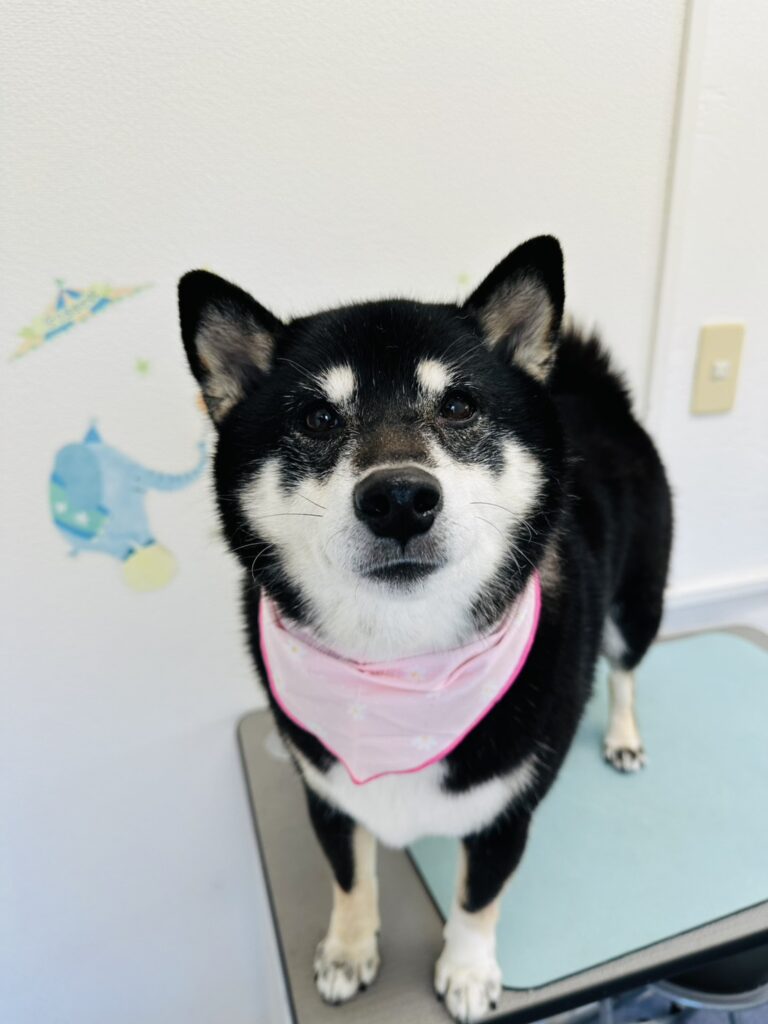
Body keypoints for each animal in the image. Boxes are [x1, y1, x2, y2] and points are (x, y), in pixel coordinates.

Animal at [178, 236, 672, 1024]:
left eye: (460, 405)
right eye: (316, 419)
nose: (401, 498)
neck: (399, 667)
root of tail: (600, 397)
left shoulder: (507, 813)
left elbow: (476, 899)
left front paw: (467, 971)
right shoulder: (330, 795)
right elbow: (351, 879)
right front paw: (348, 952)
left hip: (636, 606)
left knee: (624, 671)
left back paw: (623, 736)